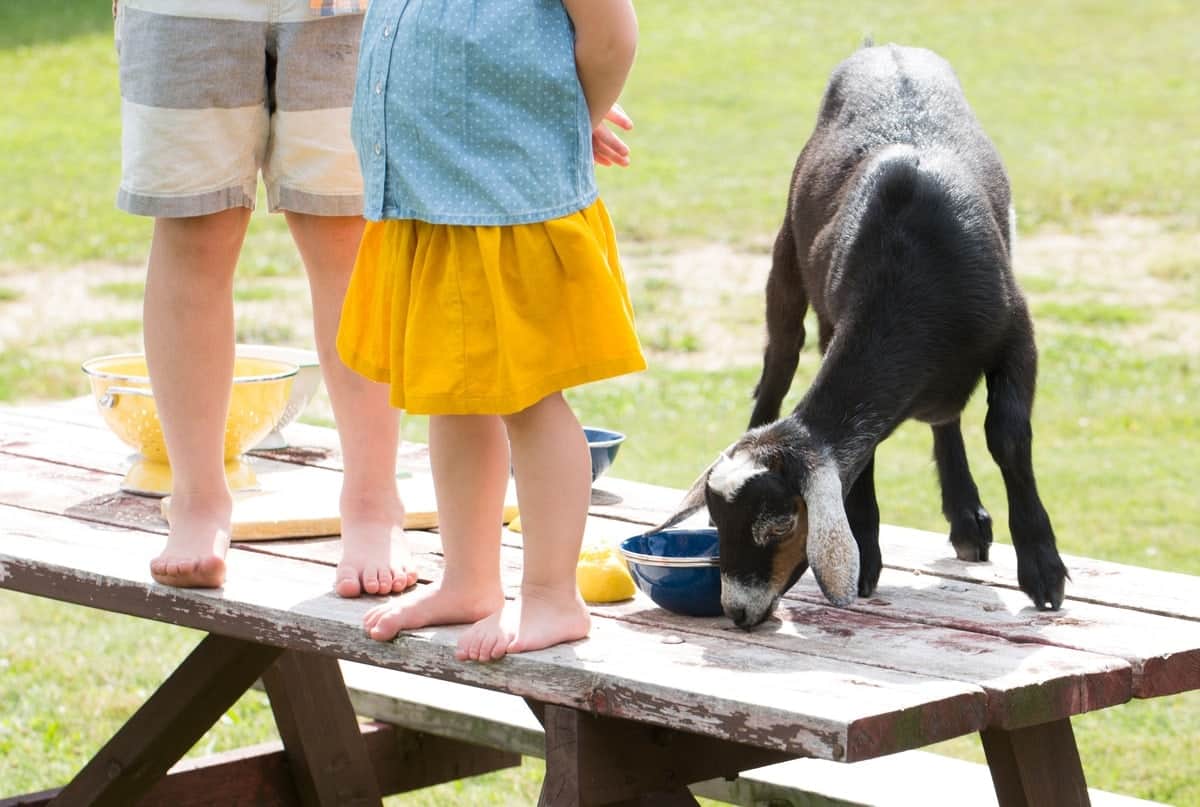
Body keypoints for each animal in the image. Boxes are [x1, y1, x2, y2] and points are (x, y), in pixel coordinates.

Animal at [667, 44, 1070, 629]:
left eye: (780, 523)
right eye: (717, 524)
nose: (738, 612)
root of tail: (883, 48)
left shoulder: (1018, 334)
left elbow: (1008, 436)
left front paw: (1042, 568)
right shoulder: (838, 324)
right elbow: (867, 449)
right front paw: (865, 556)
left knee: (945, 417)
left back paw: (967, 520)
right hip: (788, 261)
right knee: (777, 366)